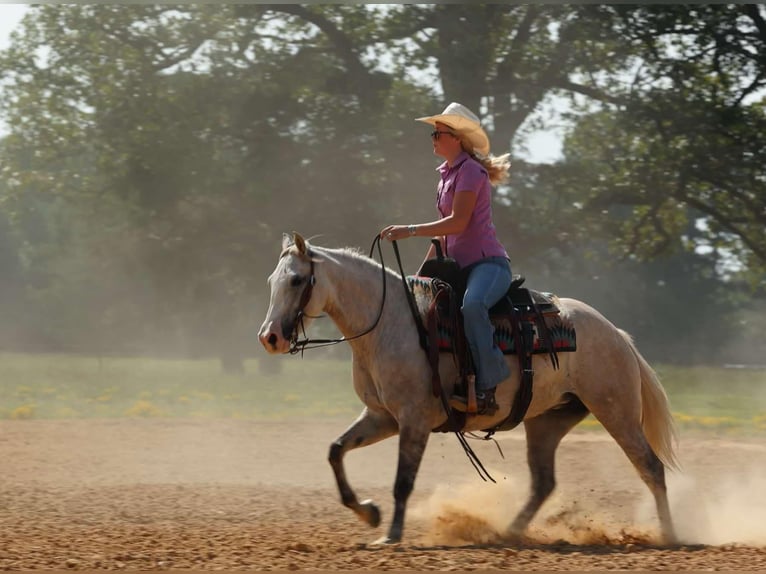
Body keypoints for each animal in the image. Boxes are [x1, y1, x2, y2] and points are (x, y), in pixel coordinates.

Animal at [258, 232, 679, 545]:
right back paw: (506, 532)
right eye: (272, 281)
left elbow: (403, 481)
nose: (270, 337)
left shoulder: (413, 419)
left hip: (617, 411)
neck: (392, 324)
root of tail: (616, 334)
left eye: (297, 280)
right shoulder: (382, 416)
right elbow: (336, 450)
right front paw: (369, 512)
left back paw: (671, 536)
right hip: (548, 420)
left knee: (651, 467)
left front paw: (391, 535)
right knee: (544, 482)